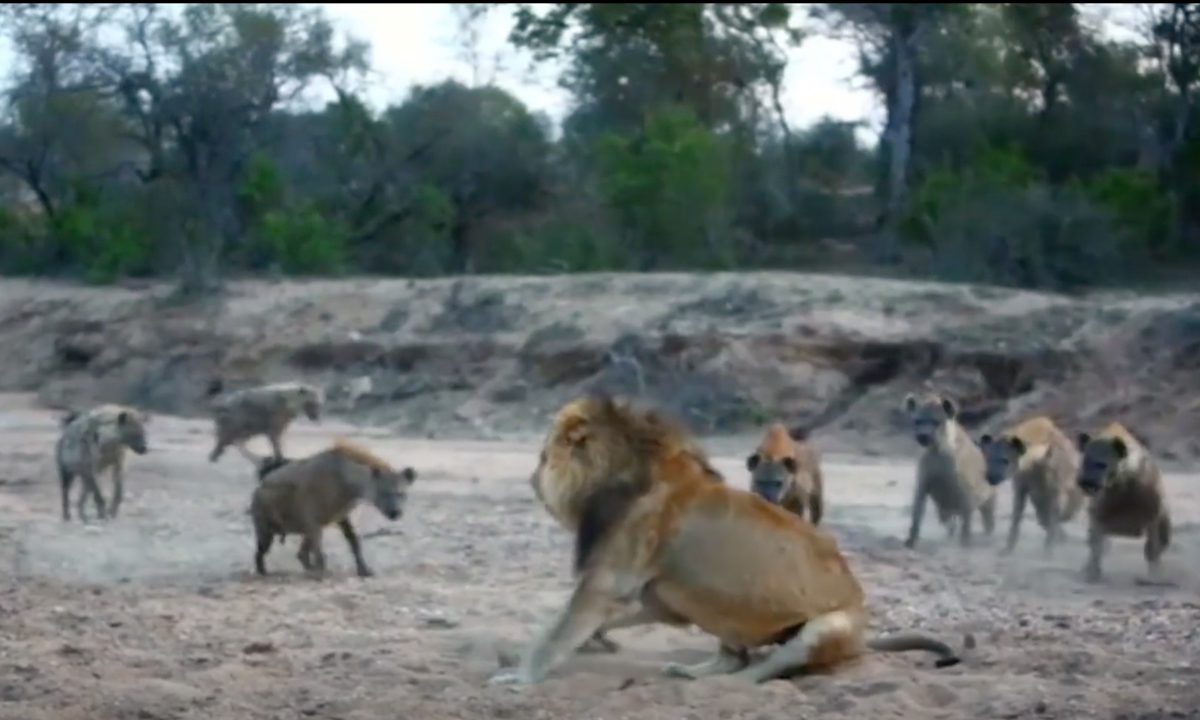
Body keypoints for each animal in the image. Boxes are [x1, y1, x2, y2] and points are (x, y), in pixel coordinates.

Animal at [248, 432, 417, 578]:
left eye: (402, 494)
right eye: (383, 493)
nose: (395, 512)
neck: (346, 485)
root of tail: (258, 488)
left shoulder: (340, 513)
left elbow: (353, 540)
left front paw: (364, 570)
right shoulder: (312, 515)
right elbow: (319, 549)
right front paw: (322, 573)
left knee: (301, 552)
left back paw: (308, 569)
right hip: (265, 522)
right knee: (261, 549)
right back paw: (264, 572)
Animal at [482, 398, 960, 686]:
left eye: (543, 457)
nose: (531, 480)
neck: (612, 477)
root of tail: (865, 632)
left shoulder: (604, 581)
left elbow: (555, 634)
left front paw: (520, 676)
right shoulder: (660, 598)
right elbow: (606, 620)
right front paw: (598, 640)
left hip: (826, 627)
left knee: (762, 670)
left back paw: (734, 685)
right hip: (723, 607)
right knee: (736, 656)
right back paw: (693, 673)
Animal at [902, 391, 993, 549]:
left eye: (935, 421)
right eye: (917, 421)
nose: (922, 436)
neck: (938, 452)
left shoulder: (966, 488)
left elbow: (967, 518)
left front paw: (965, 543)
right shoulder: (924, 479)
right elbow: (917, 509)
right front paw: (911, 540)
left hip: (988, 495)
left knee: (987, 515)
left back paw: (987, 535)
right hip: (944, 507)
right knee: (947, 519)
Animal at [979, 415, 1084, 556]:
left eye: (1005, 460)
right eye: (988, 458)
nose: (990, 477)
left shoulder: (1055, 488)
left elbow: (1053, 516)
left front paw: (1049, 550)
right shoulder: (1021, 483)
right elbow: (1016, 515)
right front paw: (1007, 549)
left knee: (1062, 512)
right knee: (1043, 515)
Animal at [1075, 422, 1166, 585]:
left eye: (1102, 464)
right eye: (1084, 462)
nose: (1085, 482)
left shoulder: (1154, 517)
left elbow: (1153, 550)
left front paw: (1154, 578)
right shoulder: (1097, 516)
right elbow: (1095, 547)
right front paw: (1092, 574)